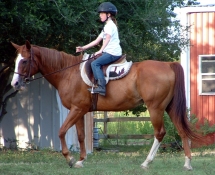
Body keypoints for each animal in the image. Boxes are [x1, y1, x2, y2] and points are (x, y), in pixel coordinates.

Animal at [10, 40, 200, 170]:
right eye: (16, 60)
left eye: (24, 61)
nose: (15, 83)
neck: (68, 73)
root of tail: (168, 65)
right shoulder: (79, 111)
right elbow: (81, 136)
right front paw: (81, 160)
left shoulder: (77, 109)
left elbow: (61, 131)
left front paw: (70, 159)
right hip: (170, 107)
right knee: (182, 130)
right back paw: (187, 163)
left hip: (155, 108)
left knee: (160, 133)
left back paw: (146, 162)